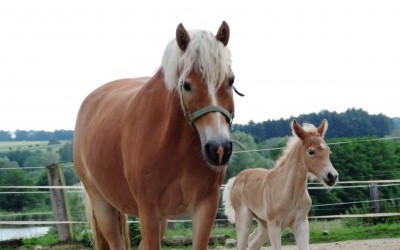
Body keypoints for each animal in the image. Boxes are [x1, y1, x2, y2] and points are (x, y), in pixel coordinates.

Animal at [73, 22, 236, 250]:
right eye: (186, 85)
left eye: (230, 80)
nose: (219, 149)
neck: (172, 145)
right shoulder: (148, 211)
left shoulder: (205, 206)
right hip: (103, 205)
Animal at [223, 119, 340, 250]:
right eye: (311, 151)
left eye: (328, 151)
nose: (332, 176)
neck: (289, 192)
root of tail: (237, 178)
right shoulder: (274, 226)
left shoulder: (301, 224)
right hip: (244, 220)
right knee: (242, 245)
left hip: (264, 225)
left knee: (253, 243)